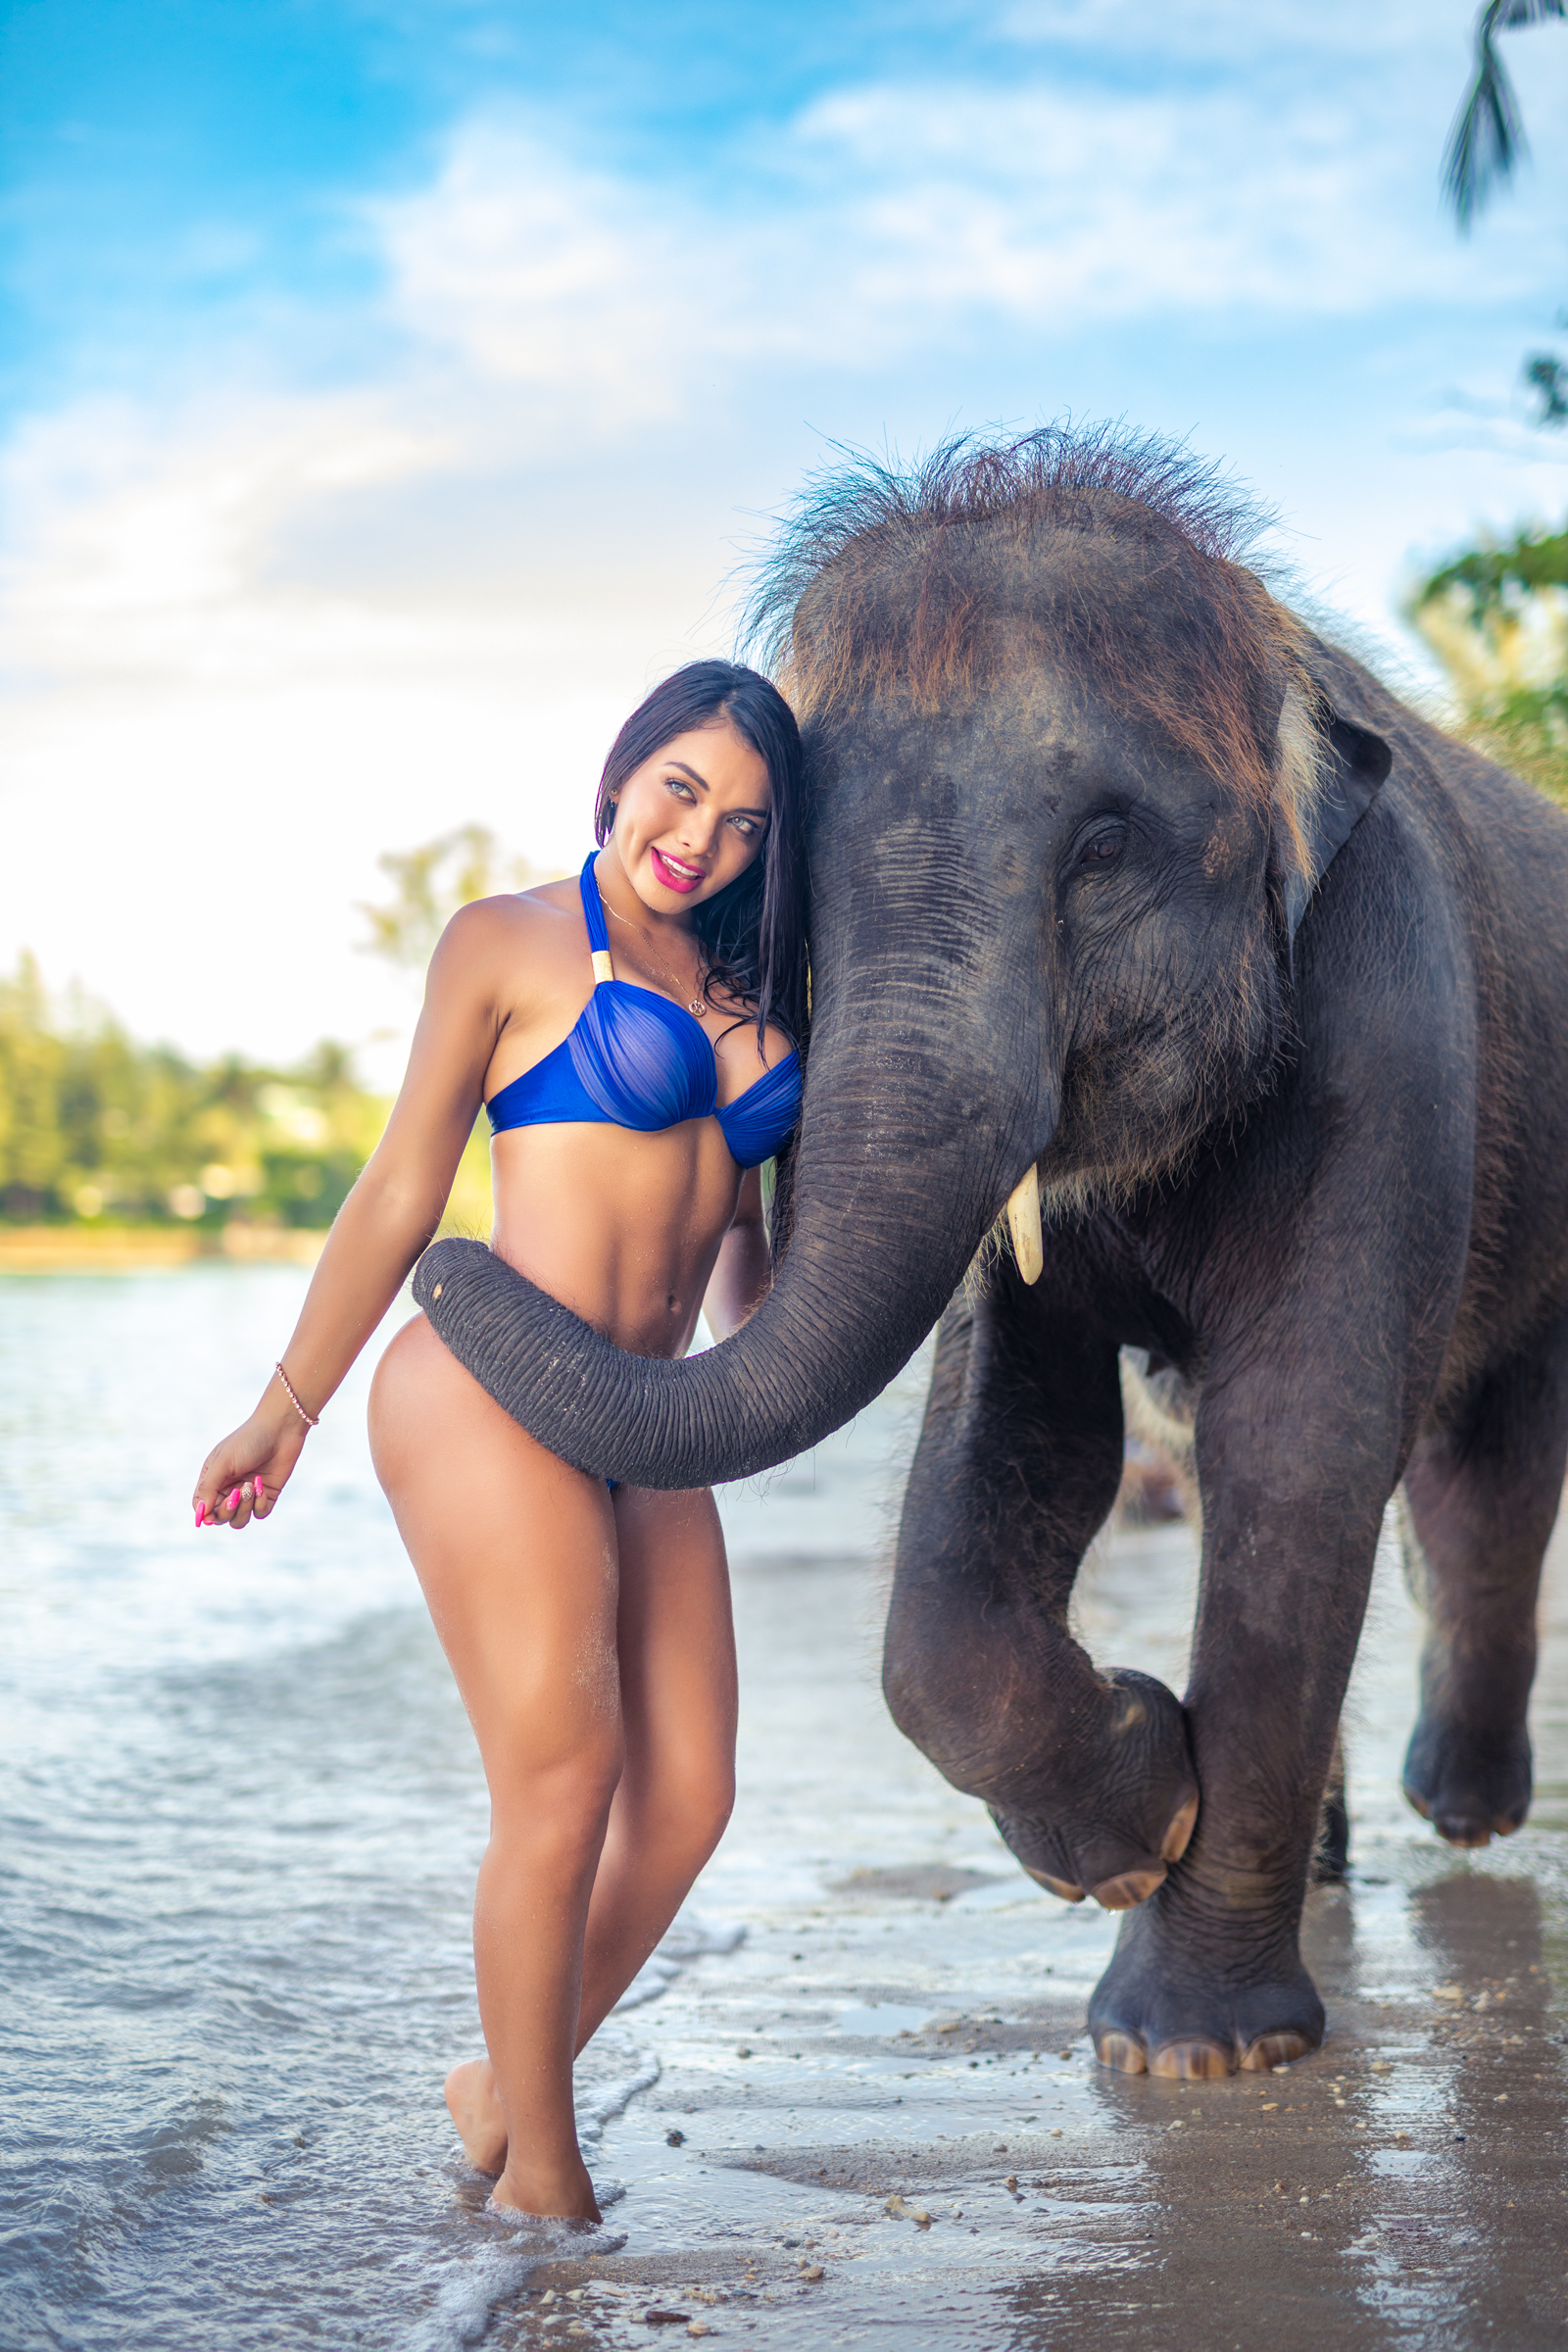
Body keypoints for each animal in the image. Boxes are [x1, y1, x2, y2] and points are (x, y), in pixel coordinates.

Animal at [412, 426, 1568, 2080]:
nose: (441, 1258)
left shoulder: (1386, 1013)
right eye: (791, 864)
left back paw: (1457, 1807)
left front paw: (1189, 2052)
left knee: (1481, 1466)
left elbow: (1303, 1439)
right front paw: (1139, 1810)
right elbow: (1017, 1431)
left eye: (1104, 845)